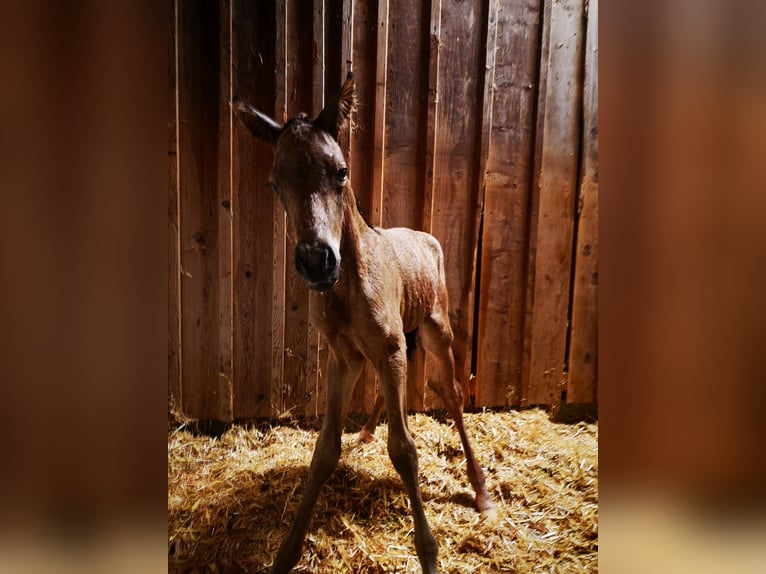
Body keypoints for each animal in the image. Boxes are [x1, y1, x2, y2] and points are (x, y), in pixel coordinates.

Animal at [236, 74, 498, 572]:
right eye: (275, 183)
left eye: (341, 172)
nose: (317, 261)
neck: (348, 286)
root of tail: (425, 236)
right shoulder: (346, 359)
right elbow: (324, 452)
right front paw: (286, 553)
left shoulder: (389, 348)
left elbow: (406, 450)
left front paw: (429, 553)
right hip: (392, 347)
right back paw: (368, 430)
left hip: (435, 331)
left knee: (453, 395)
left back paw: (480, 490)